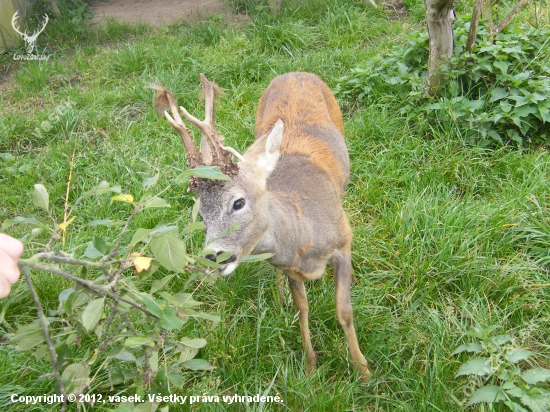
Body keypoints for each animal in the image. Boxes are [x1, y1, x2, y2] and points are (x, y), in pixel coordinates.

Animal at [154, 72, 370, 382]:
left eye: (238, 202)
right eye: (202, 216)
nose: (213, 256)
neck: (303, 236)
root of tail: (295, 73)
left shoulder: (343, 240)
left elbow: (344, 310)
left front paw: (362, 370)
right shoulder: (290, 268)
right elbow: (302, 309)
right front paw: (310, 366)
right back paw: (279, 299)